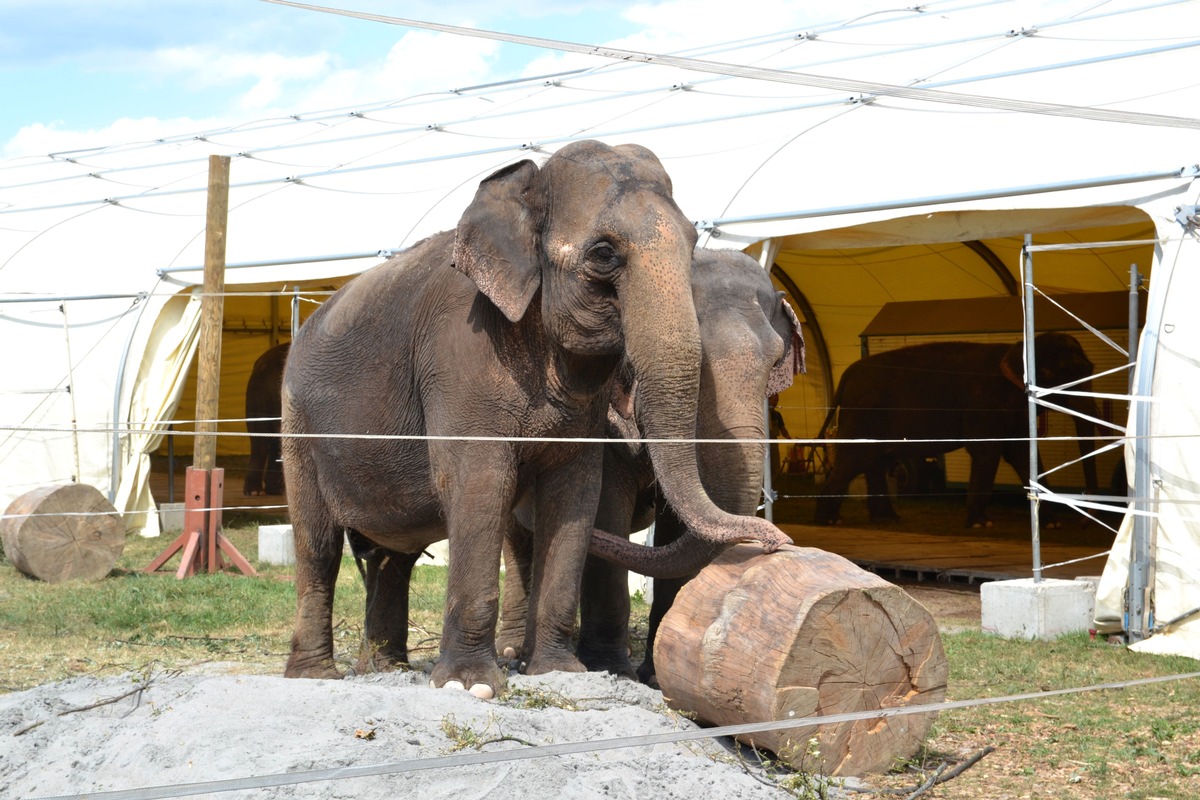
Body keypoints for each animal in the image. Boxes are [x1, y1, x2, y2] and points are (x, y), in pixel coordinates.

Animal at [496, 247, 806, 686]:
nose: (776, 541)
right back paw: (512, 650)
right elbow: (605, 510)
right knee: (518, 541)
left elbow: (677, 528)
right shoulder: (602, 423)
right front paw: (612, 669)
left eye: (776, 360)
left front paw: (657, 674)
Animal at [811, 328, 1099, 527]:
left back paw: (887, 520)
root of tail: (848, 373)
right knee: (854, 460)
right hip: (863, 415)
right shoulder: (984, 406)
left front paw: (1052, 524)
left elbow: (1023, 454)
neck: (1019, 347)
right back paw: (829, 521)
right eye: (1061, 372)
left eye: (1091, 368)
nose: (1084, 521)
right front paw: (981, 524)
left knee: (877, 462)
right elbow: (987, 452)